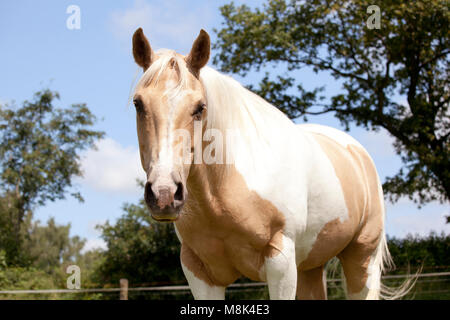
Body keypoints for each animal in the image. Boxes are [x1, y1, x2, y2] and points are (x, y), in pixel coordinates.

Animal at [131, 28, 412, 300]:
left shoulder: (281, 261)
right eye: (138, 104)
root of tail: (358, 154)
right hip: (310, 266)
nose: (164, 194)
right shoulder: (199, 271)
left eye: (200, 107)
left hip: (362, 258)